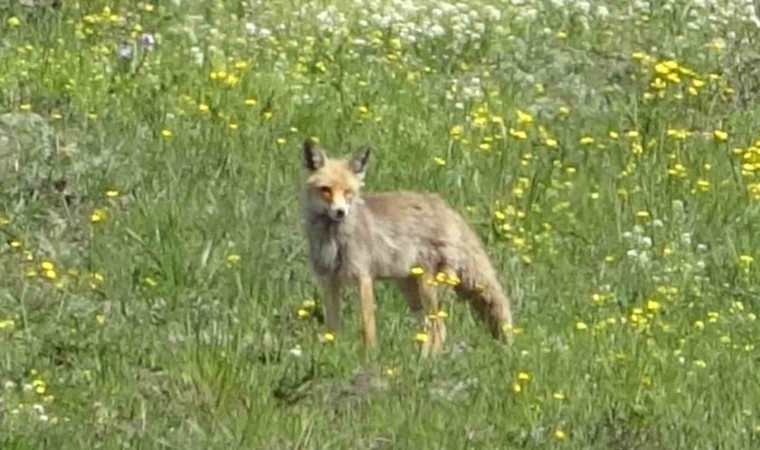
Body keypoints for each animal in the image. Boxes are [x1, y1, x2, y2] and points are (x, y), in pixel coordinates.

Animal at [300, 139, 512, 356]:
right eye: (326, 190)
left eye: (348, 192)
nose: (340, 212)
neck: (333, 239)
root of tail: (450, 211)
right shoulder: (328, 280)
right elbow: (332, 328)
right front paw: (332, 353)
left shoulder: (363, 276)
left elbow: (368, 328)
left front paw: (370, 357)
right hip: (411, 291)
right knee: (428, 328)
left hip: (429, 287)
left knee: (438, 328)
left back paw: (427, 360)